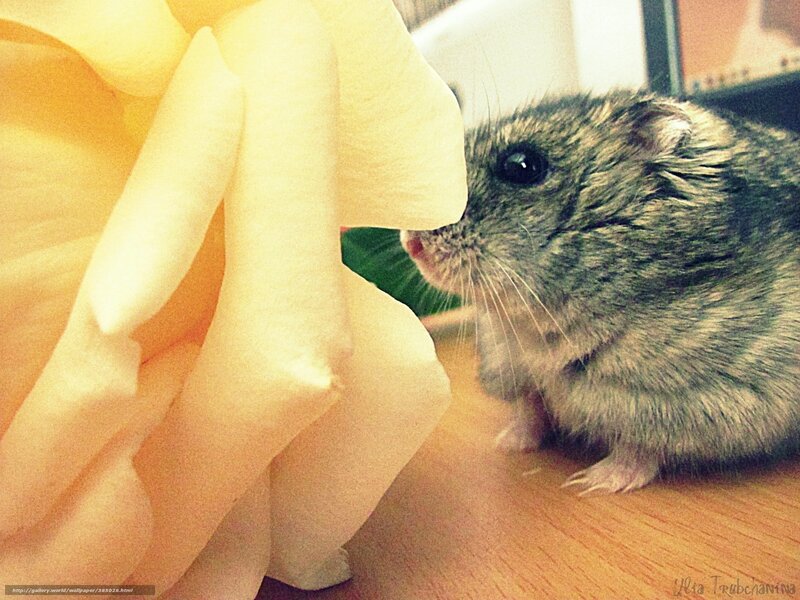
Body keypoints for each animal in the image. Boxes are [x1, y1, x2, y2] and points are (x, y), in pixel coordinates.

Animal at [401, 91, 800, 493]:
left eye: (522, 166)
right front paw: (509, 445)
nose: (410, 242)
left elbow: (639, 446)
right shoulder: (513, 368)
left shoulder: (682, 404)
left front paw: (590, 482)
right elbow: (530, 408)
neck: (540, 325)